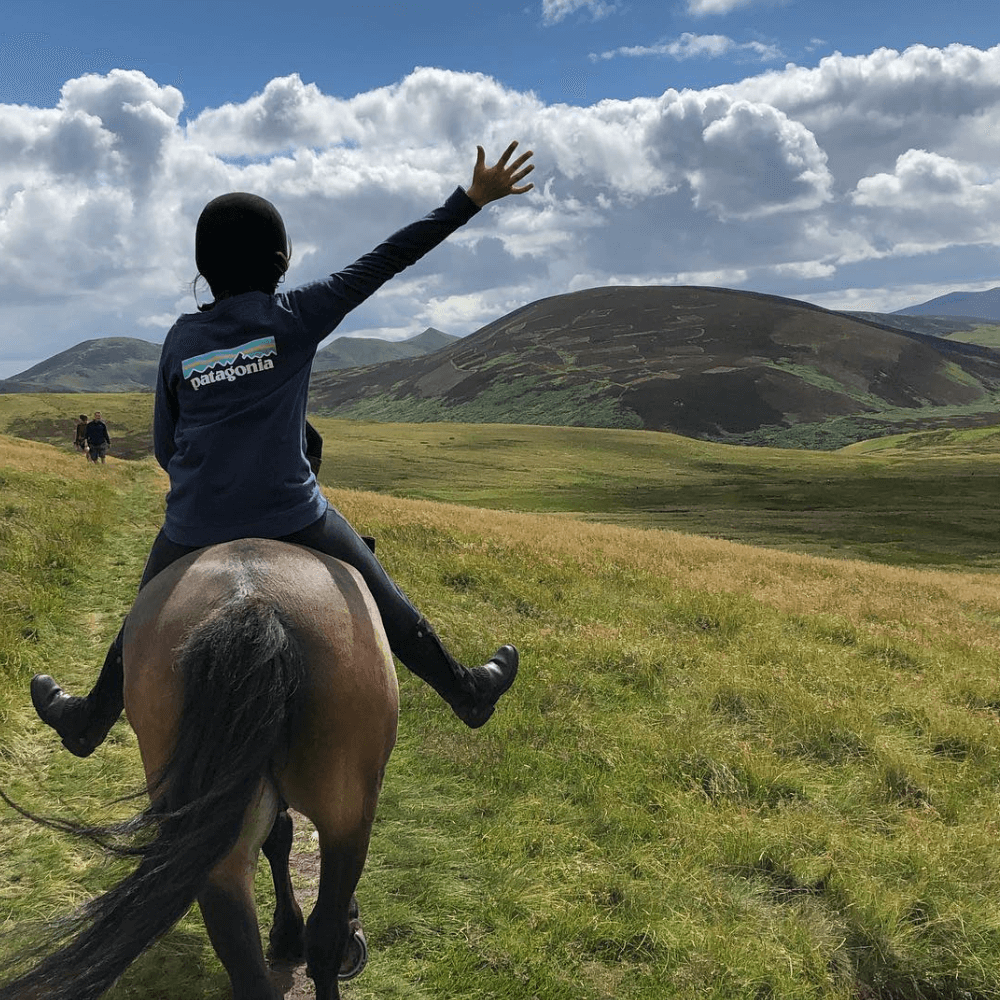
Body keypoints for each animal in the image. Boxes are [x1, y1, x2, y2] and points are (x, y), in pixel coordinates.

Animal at [0, 538, 399, 1000]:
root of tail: (252, 603)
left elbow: (279, 838)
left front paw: (287, 934)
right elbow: (280, 838)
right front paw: (287, 934)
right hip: (340, 817)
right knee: (311, 938)